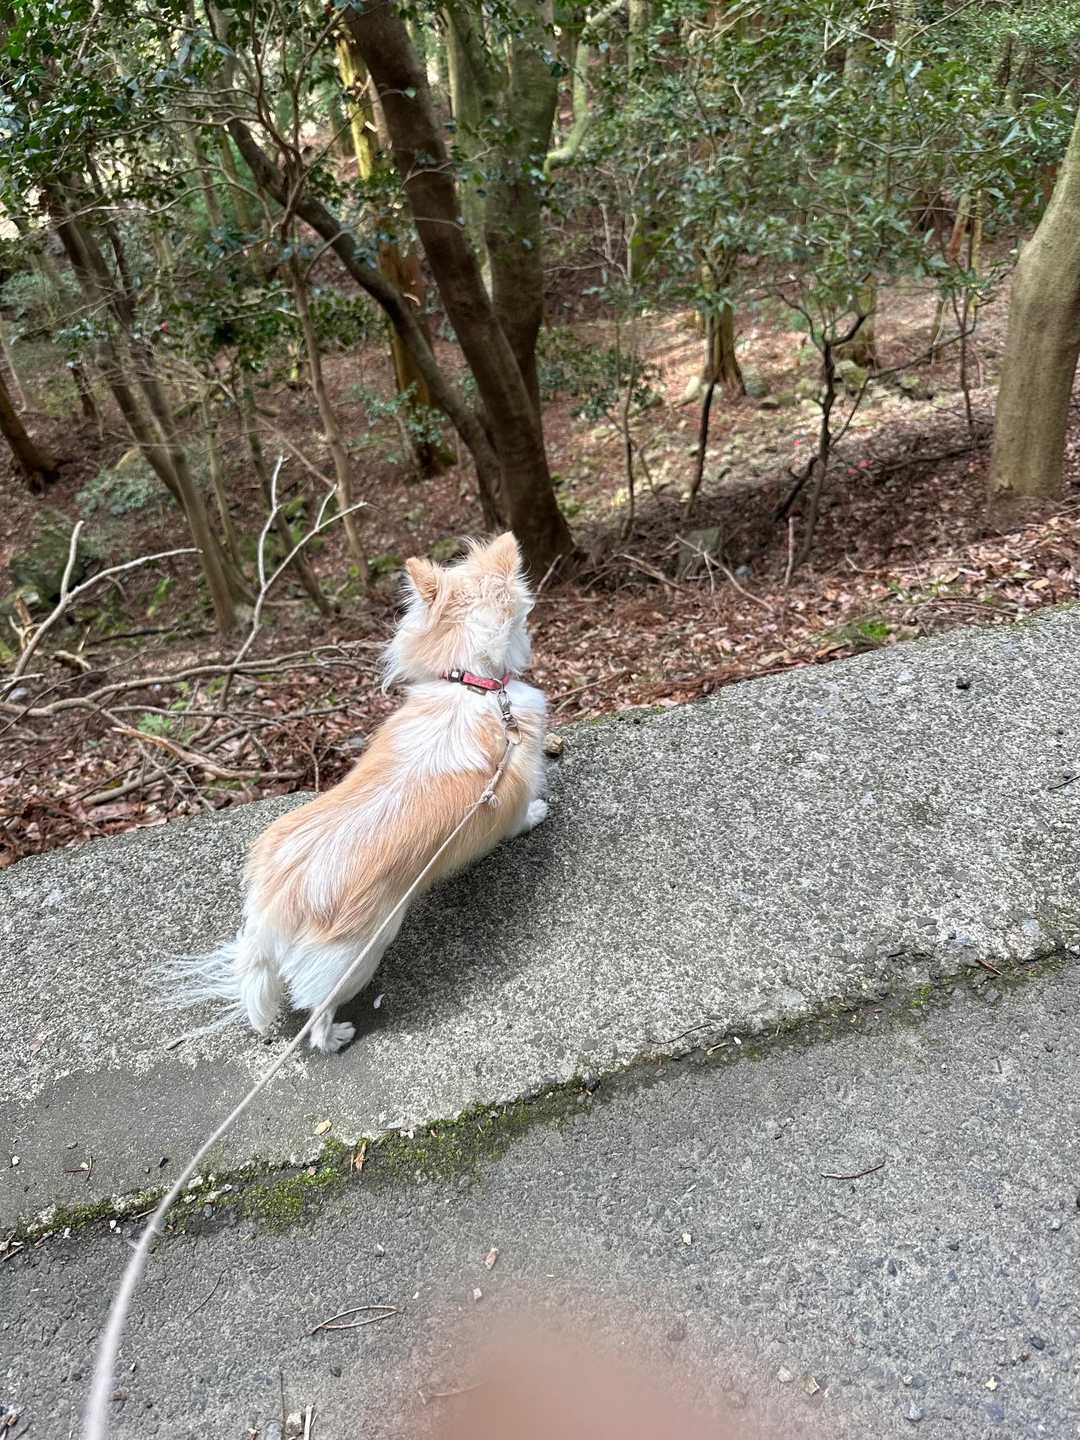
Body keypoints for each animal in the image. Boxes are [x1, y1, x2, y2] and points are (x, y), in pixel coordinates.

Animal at [169, 532, 549, 1053]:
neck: (474, 686)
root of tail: (274, 904)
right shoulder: (514, 780)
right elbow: (519, 814)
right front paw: (537, 814)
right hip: (355, 959)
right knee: (316, 1014)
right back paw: (336, 1037)